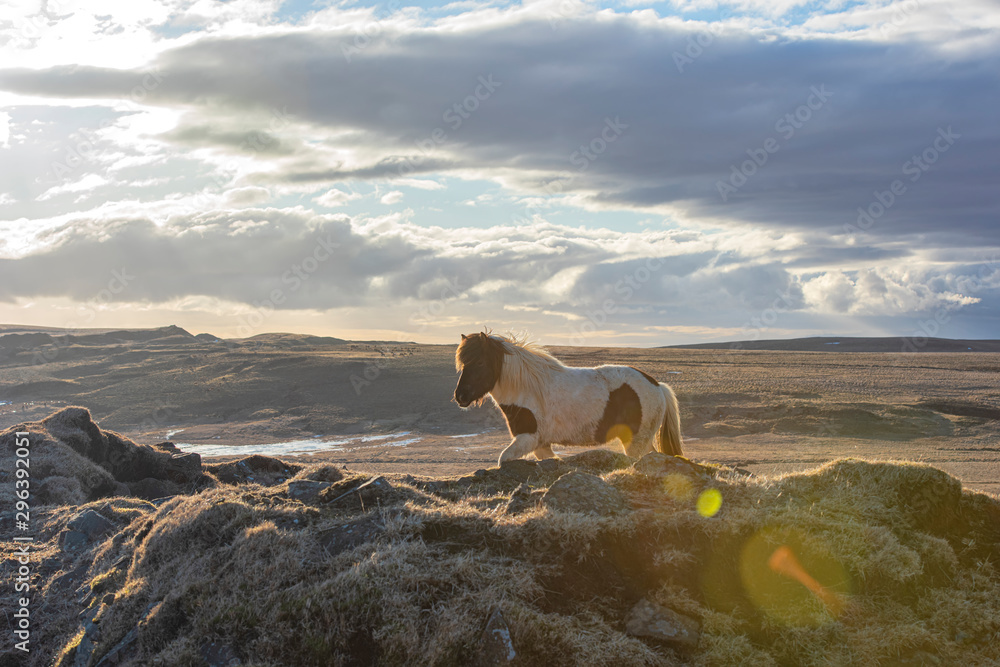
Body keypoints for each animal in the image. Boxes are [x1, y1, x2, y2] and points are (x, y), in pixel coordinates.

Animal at [456, 332, 684, 464]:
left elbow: (503, 459)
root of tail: (658, 386)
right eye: (463, 364)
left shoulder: (528, 438)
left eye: (479, 363)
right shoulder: (541, 444)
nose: (460, 396)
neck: (528, 390)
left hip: (636, 442)